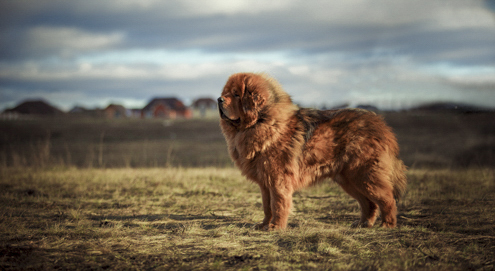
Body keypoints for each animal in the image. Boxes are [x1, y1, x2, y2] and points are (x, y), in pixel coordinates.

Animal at [219, 73, 408, 231]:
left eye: (236, 94)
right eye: (226, 92)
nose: (219, 99)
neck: (262, 121)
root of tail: (380, 124)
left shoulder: (278, 179)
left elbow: (278, 204)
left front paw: (275, 227)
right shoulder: (265, 182)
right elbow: (267, 206)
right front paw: (264, 225)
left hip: (364, 174)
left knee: (387, 199)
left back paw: (387, 224)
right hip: (348, 179)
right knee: (368, 203)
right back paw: (363, 223)